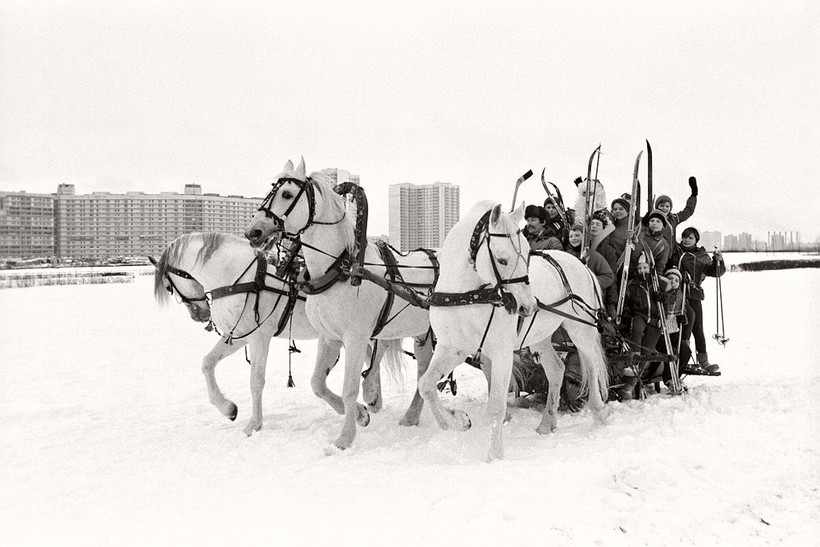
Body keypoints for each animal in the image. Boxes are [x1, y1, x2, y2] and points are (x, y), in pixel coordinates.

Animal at [155, 234, 398, 436]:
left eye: (168, 286)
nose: (200, 315)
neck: (234, 274)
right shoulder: (238, 335)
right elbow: (207, 363)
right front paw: (228, 408)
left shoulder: (259, 337)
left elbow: (256, 381)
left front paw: (254, 424)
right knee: (371, 355)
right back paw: (374, 398)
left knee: (380, 348)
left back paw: (371, 394)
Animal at [243, 161, 438, 452]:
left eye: (287, 194)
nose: (253, 232)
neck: (339, 269)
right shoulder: (329, 337)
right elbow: (317, 383)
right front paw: (359, 413)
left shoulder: (355, 338)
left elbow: (349, 388)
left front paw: (345, 438)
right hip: (421, 333)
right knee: (422, 370)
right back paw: (410, 414)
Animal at [416, 199, 540, 460]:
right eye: (502, 260)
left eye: (527, 254)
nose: (528, 306)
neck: (467, 296)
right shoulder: (453, 349)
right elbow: (426, 386)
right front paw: (456, 420)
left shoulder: (502, 353)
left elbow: (496, 406)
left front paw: (495, 456)